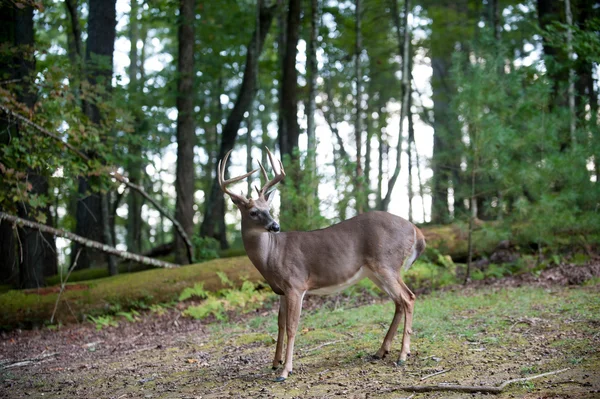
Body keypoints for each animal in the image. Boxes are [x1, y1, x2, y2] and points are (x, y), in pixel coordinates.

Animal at [218, 148, 424, 382]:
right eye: (253, 212)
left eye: (268, 208)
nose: (275, 226)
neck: (272, 255)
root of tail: (415, 229)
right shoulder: (280, 290)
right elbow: (279, 324)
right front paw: (275, 362)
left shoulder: (296, 284)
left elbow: (292, 327)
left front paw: (285, 371)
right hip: (376, 272)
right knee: (399, 301)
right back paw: (381, 351)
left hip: (387, 264)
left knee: (408, 298)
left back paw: (403, 355)